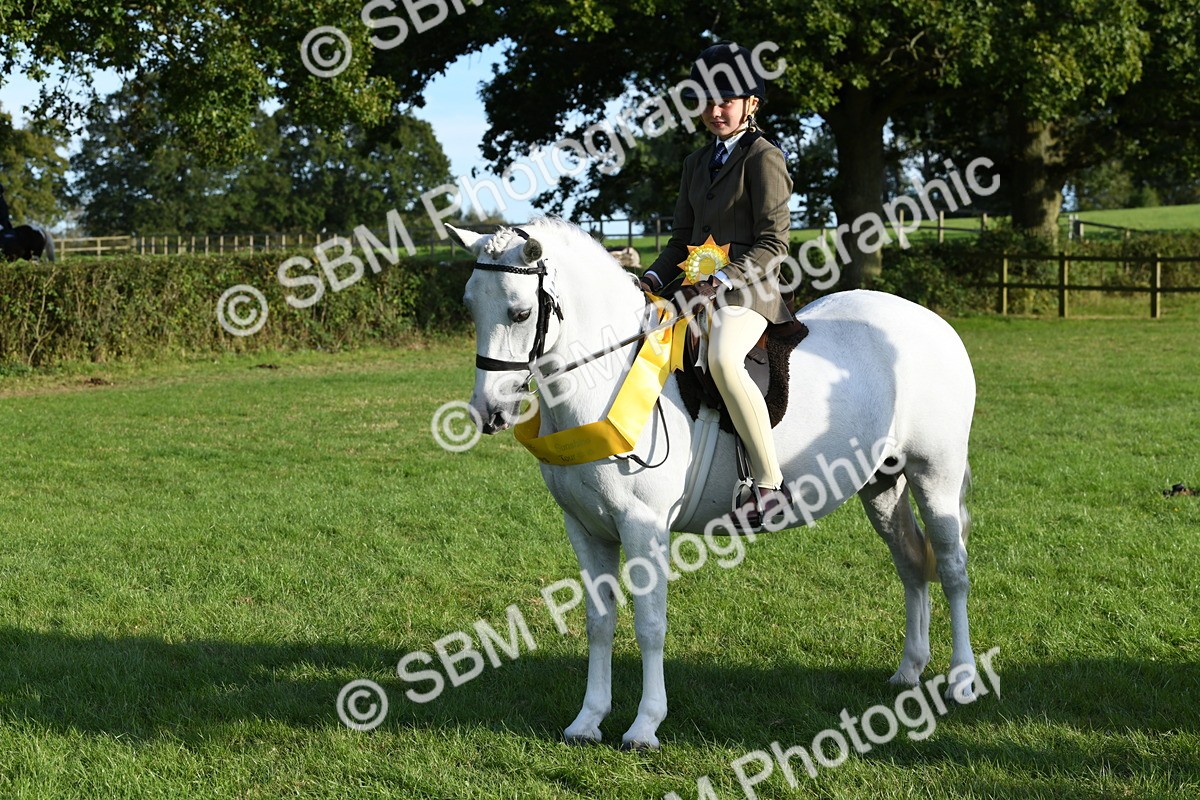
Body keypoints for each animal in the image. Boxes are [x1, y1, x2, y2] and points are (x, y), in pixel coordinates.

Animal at [448, 218, 977, 750]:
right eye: (470, 304)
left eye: (520, 312)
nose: (489, 413)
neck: (607, 380)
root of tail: (935, 324)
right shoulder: (586, 528)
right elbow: (599, 621)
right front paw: (588, 719)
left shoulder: (643, 526)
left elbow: (649, 625)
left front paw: (645, 725)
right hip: (882, 485)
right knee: (911, 564)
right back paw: (908, 672)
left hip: (935, 474)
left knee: (952, 568)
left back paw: (963, 681)